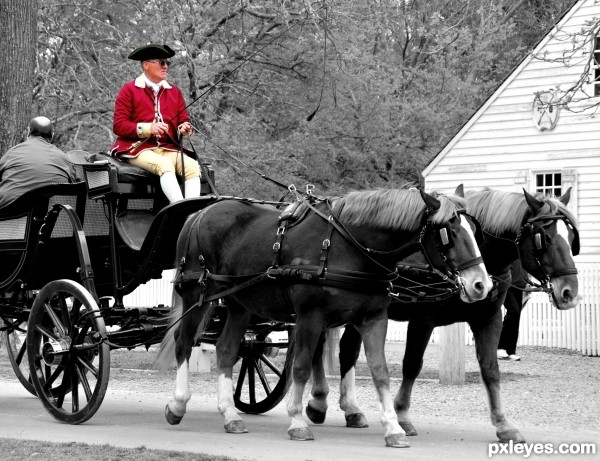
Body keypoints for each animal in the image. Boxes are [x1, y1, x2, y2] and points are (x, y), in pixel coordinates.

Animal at [155, 185, 492, 448]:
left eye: (475, 232)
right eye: (449, 233)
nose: (481, 284)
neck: (351, 245)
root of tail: (200, 213)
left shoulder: (373, 318)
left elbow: (380, 371)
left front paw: (393, 427)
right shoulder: (310, 317)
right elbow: (302, 366)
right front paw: (297, 421)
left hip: (239, 304)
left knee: (227, 350)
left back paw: (229, 413)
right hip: (197, 295)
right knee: (184, 343)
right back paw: (178, 404)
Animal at [308, 185, 580, 444]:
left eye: (571, 237)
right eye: (543, 238)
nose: (570, 292)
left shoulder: (488, 319)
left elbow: (490, 369)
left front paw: (504, 424)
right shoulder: (422, 319)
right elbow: (412, 365)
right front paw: (402, 416)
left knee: (347, 351)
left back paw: (351, 409)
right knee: (320, 347)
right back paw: (318, 402)